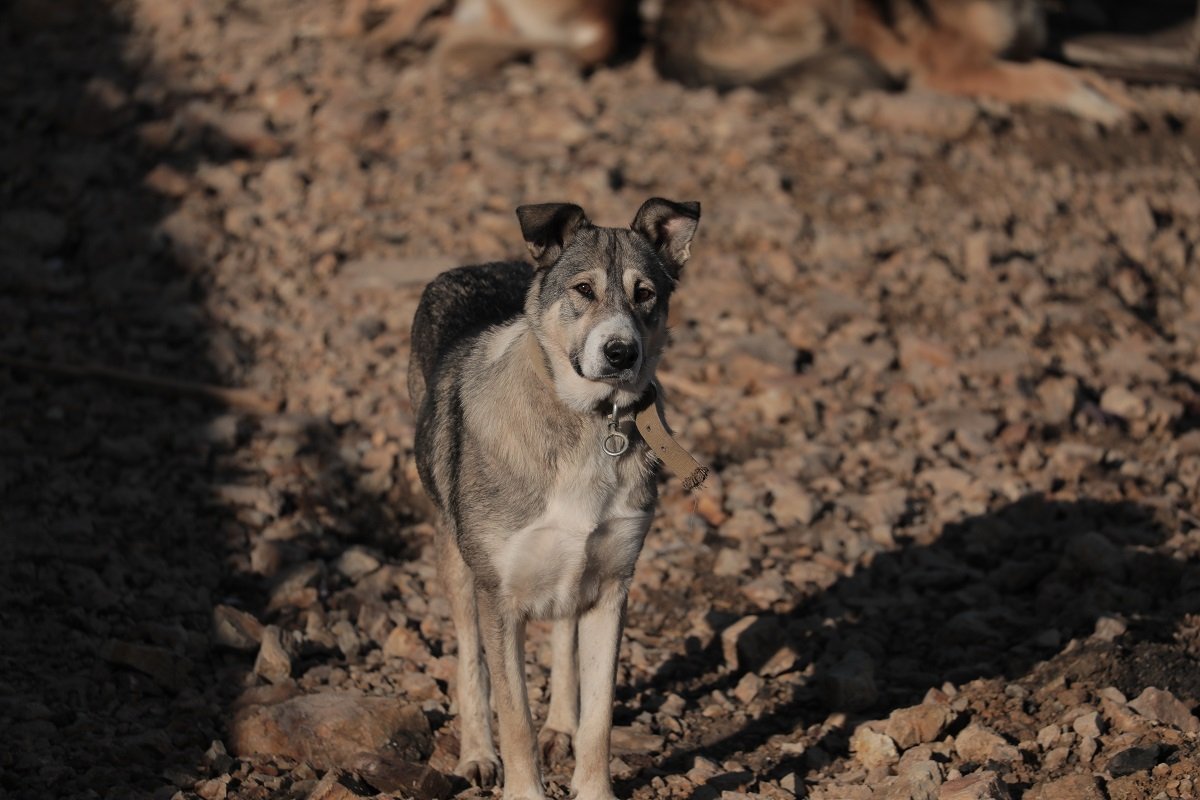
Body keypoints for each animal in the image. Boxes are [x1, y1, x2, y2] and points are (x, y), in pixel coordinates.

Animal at [408, 195, 700, 800]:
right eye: (583, 289)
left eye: (646, 294)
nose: (621, 353)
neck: (589, 423)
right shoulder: (499, 597)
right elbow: (514, 715)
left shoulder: (613, 586)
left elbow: (600, 716)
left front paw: (594, 788)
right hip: (455, 555)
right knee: (469, 659)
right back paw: (477, 754)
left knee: (564, 634)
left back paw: (560, 725)